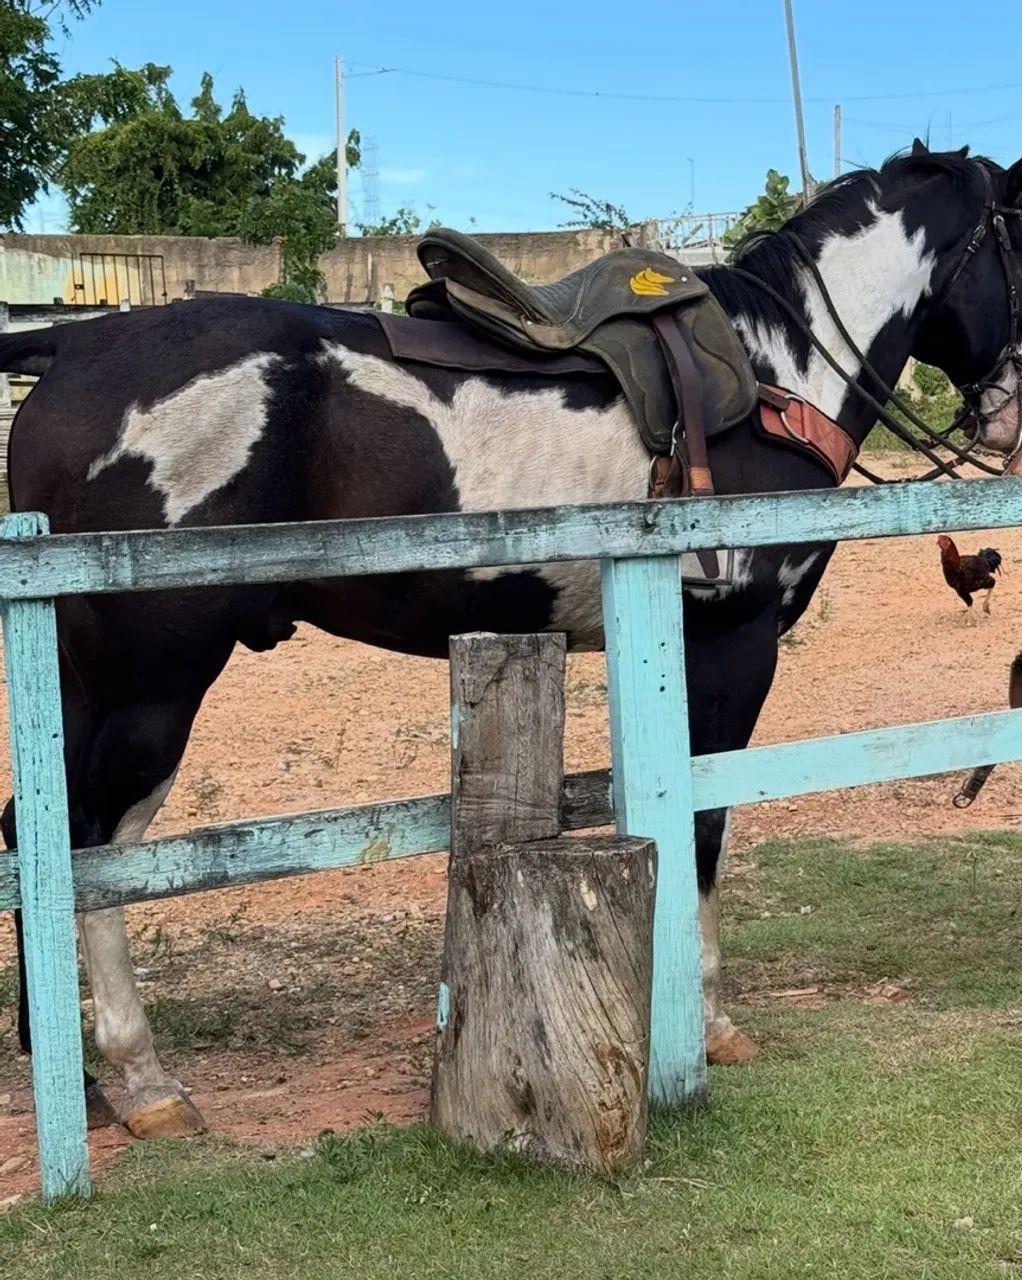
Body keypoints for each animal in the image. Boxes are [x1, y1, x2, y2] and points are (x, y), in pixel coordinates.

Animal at [1, 142, 1021, 1139]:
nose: (1006, 416)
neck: (781, 370)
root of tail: (78, 341)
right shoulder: (730, 643)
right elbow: (702, 820)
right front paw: (709, 1019)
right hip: (152, 685)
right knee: (92, 847)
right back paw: (141, 1078)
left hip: (87, 684)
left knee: (35, 831)